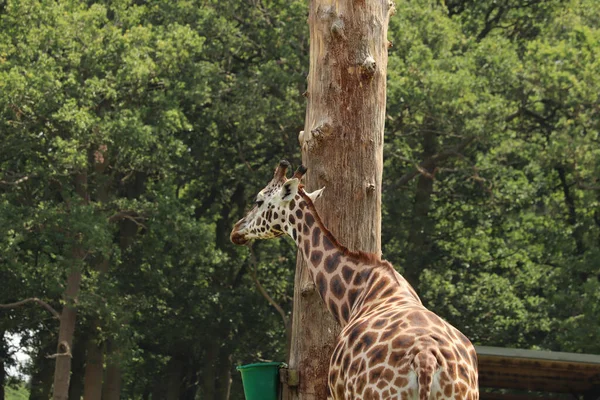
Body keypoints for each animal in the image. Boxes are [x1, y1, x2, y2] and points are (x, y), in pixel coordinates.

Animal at [230, 160, 478, 400]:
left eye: (259, 200)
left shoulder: (336, 392)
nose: (236, 230)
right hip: (463, 394)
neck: (358, 290)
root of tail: (425, 359)